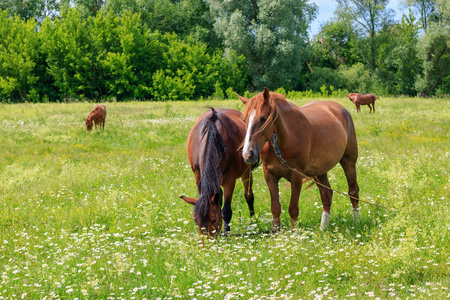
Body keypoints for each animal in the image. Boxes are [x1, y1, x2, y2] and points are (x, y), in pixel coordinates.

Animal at [180, 108, 255, 237]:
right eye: (195, 220)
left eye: (214, 220)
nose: (207, 241)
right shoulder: (198, 177)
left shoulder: (230, 180)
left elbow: (226, 211)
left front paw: (227, 233)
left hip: (246, 171)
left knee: (249, 195)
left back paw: (254, 222)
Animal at [237, 88, 360, 231]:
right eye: (244, 119)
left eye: (263, 118)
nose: (248, 154)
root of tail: (341, 109)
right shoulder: (269, 175)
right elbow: (275, 208)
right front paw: (276, 232)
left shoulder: (296, 176)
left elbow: (293, 208)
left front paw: (294, 232)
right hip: (319, 170)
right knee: (327, 194)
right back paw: (323, 228)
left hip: (349, 161)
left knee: (353, 191)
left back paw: (356, 223)